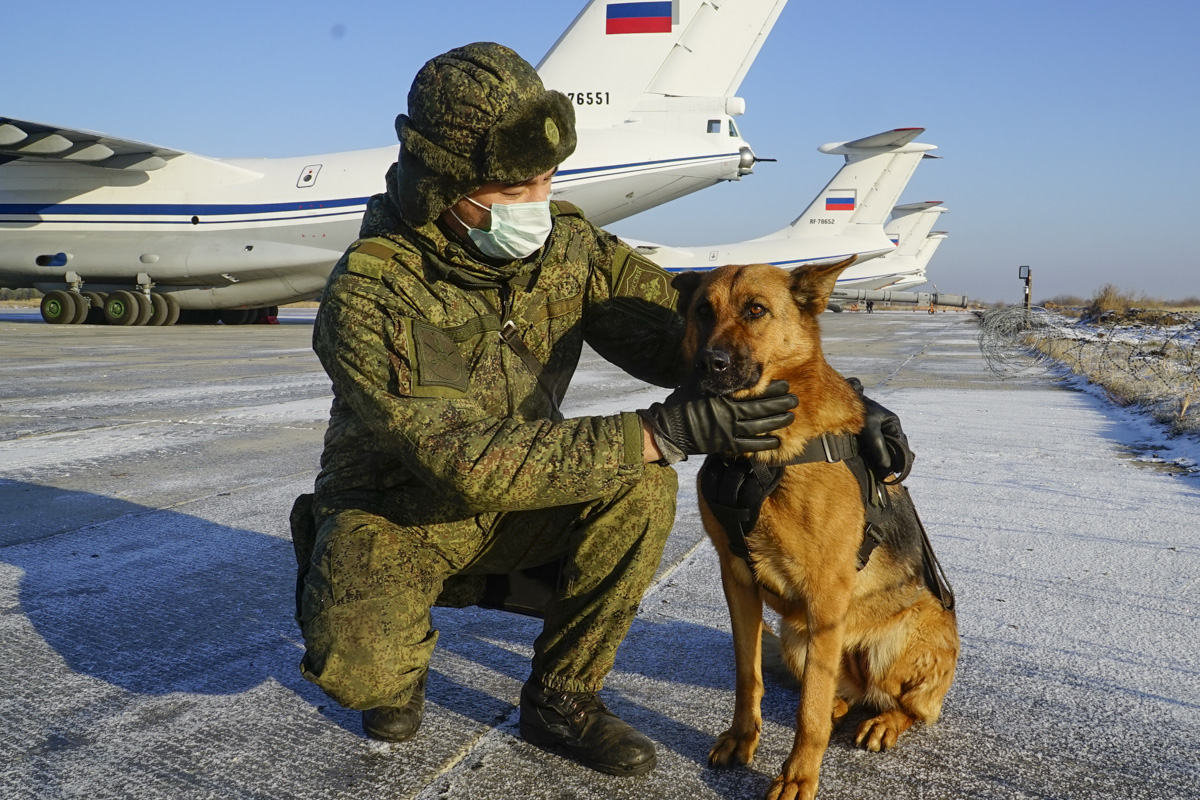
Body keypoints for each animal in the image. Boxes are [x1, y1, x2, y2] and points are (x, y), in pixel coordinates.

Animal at [672, 261, 960, 800]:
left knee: (906, 705)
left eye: (756, 310)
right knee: (837, 694)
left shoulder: (826, 591)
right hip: (797, 637)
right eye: (702, 310)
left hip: (897, 638)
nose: (708, 364)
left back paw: (884, 721)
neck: (755, 457)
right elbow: (748, 674)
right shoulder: (737, 578)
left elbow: (808, 711)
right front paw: (742, 739)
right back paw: (842, 706)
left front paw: (798, 776)